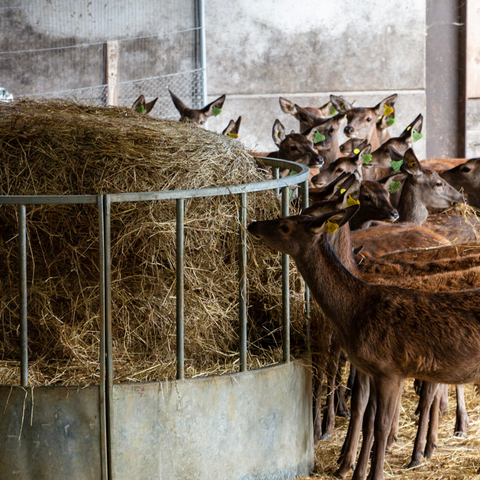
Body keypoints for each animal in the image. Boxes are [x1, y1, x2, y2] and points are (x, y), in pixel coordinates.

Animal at [249, 208, 480, 480]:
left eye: (285, 226)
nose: (253, 224)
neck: (354, 311)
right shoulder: (369, 368)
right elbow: (365, 416)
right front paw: (353, 470)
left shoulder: (391, 369)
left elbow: (381, 425)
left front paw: (374, 472)